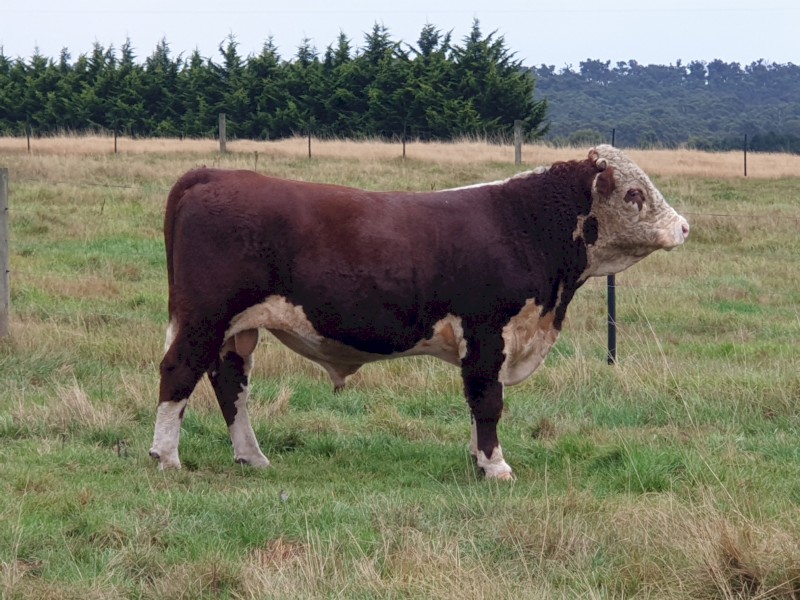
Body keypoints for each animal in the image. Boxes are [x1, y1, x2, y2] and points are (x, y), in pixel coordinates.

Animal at [150, 145, 689, 480]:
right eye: (634, 194)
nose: (684, 226)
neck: (525, 225)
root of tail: (214, 174)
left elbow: (477, 401)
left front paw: (477, 459)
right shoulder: (487, 331)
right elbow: (488, 401)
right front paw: (496, 467)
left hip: (235, 330)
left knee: (230, 384)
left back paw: (252, 457)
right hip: (204, 316)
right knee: (178, 372)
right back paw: (167, 458)